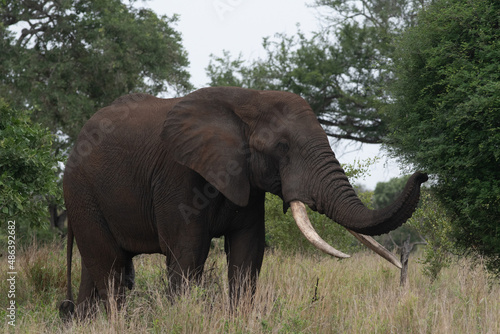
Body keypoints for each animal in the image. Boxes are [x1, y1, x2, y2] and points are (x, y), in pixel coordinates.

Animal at [58, 86, 426, 318]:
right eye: (281, 147)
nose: (422, 174)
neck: (247, 100)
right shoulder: (179, 177)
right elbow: (187, 253)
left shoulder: (246, 180)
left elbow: (248, 252)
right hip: (81, 192)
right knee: (110, 268)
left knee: (99, 267)